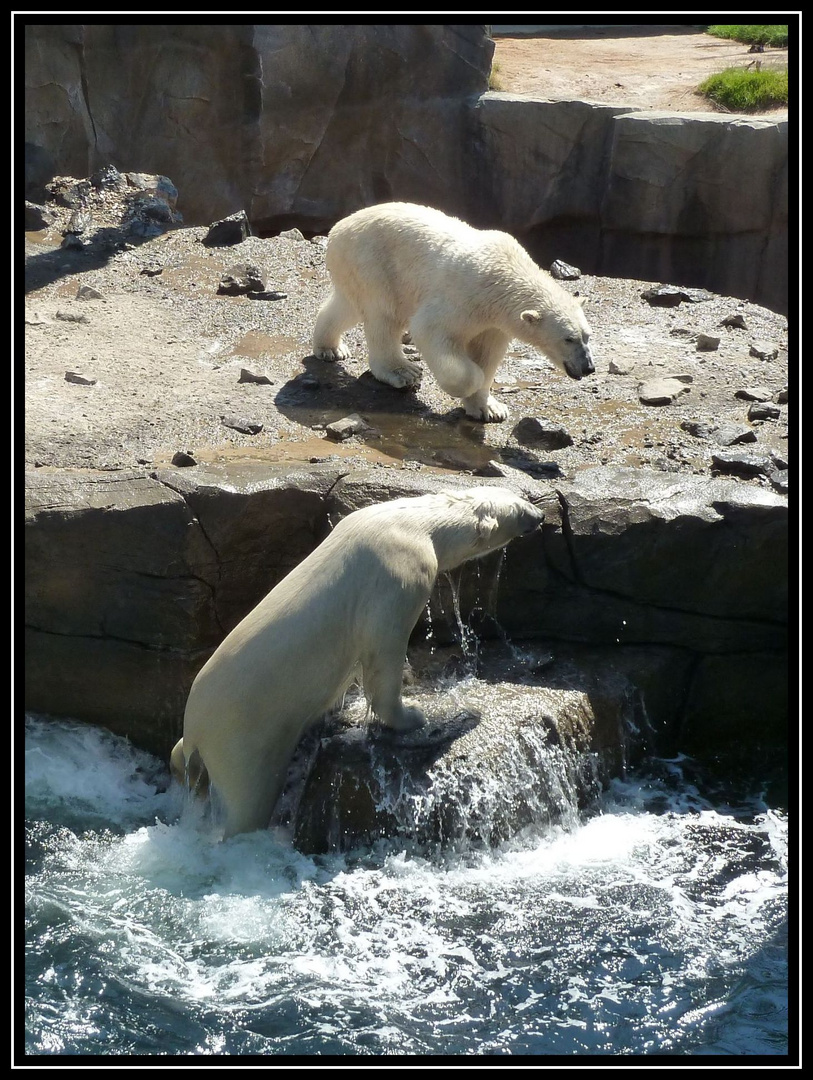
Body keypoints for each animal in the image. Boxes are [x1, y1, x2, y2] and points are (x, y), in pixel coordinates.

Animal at [169, 486, 546, 838]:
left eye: (519, 495)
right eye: (518, 509)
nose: (540, 515)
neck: (414, 521)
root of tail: (195, 729)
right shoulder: (400, 574)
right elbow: (384, 650)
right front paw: (412, 715)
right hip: (241, 738)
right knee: (248, 800)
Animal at [308, 200, 591, 419]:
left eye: (587, 336)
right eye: (568, 339)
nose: (588, 367)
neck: (504, 275)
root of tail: (338, 228)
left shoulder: (495, 322)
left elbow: (488, 352)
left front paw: (489, 409)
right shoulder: (463, 297)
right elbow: (430, 329)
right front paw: (471, 382)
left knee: (348, 305)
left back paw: (331, 348)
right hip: (374, 263)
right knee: (384, 315)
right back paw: (402, 371)